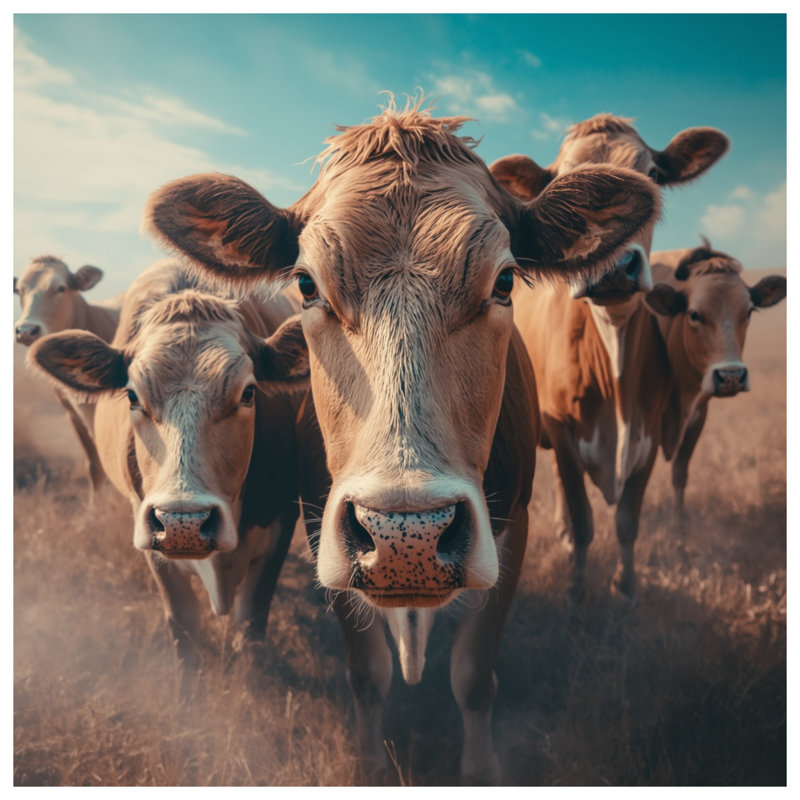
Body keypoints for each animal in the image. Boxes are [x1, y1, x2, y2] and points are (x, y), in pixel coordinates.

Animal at [28, 259, 309, 692]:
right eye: (131, 396)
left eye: (249, 393)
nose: (183, 523)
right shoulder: (147, 531)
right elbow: (183, 621)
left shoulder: (281, 522)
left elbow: (251, 622)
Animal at [140, 101, 662, 783]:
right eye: (305, 284)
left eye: (505, 281)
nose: (405, 536)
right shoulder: (321, 531)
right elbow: (367, 675)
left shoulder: (513, 528)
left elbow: (474, 677)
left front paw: (480, 768)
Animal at [489, 114, 729, 605]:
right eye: (561, 182)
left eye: (653, 175)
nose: (615, 269)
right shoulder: (561, 427)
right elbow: (583, 517)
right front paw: (577, 589)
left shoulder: (650, 431)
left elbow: (628, 521)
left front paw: (628, 584)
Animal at [645, 239, 786, 524]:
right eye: (694, 314)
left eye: (749, 311)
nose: (731, 376)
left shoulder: (699, 415)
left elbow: (680, 474)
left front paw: (679, 526)